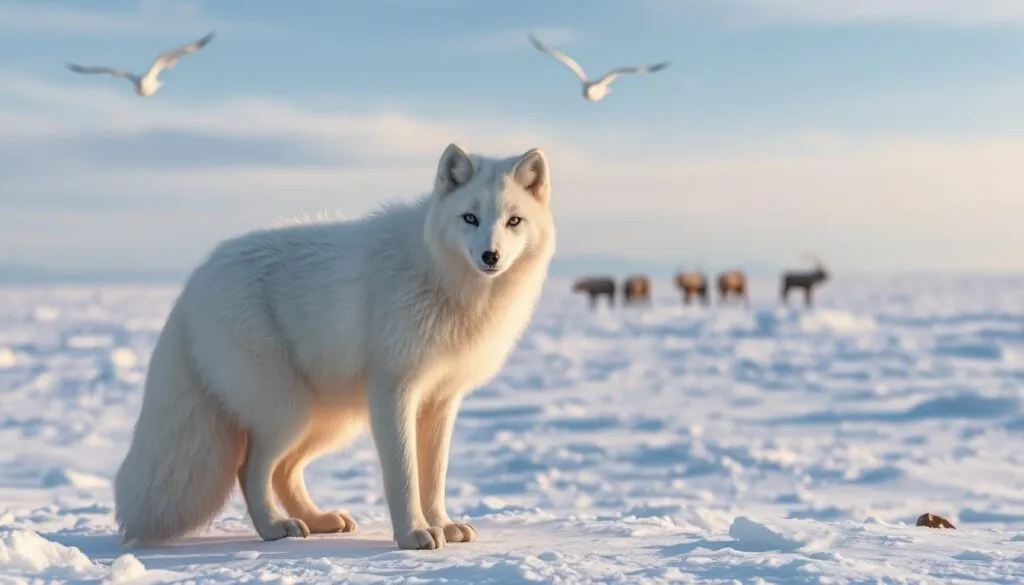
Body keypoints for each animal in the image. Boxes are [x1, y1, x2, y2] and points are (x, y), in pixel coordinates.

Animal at [113, 143, 556, 550]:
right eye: (470, 218)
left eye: (514, 221)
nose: (490, 255)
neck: (446, 280)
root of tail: (193, 283)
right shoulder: (393, 388)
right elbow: (403, 472)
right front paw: (413, 534)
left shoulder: (442, 398)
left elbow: (434, 476)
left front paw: (443, 525)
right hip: (288, 411)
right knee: (249, 468)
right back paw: (274, 527)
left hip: (328, 418)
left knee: (284, 471)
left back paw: (317, 520)